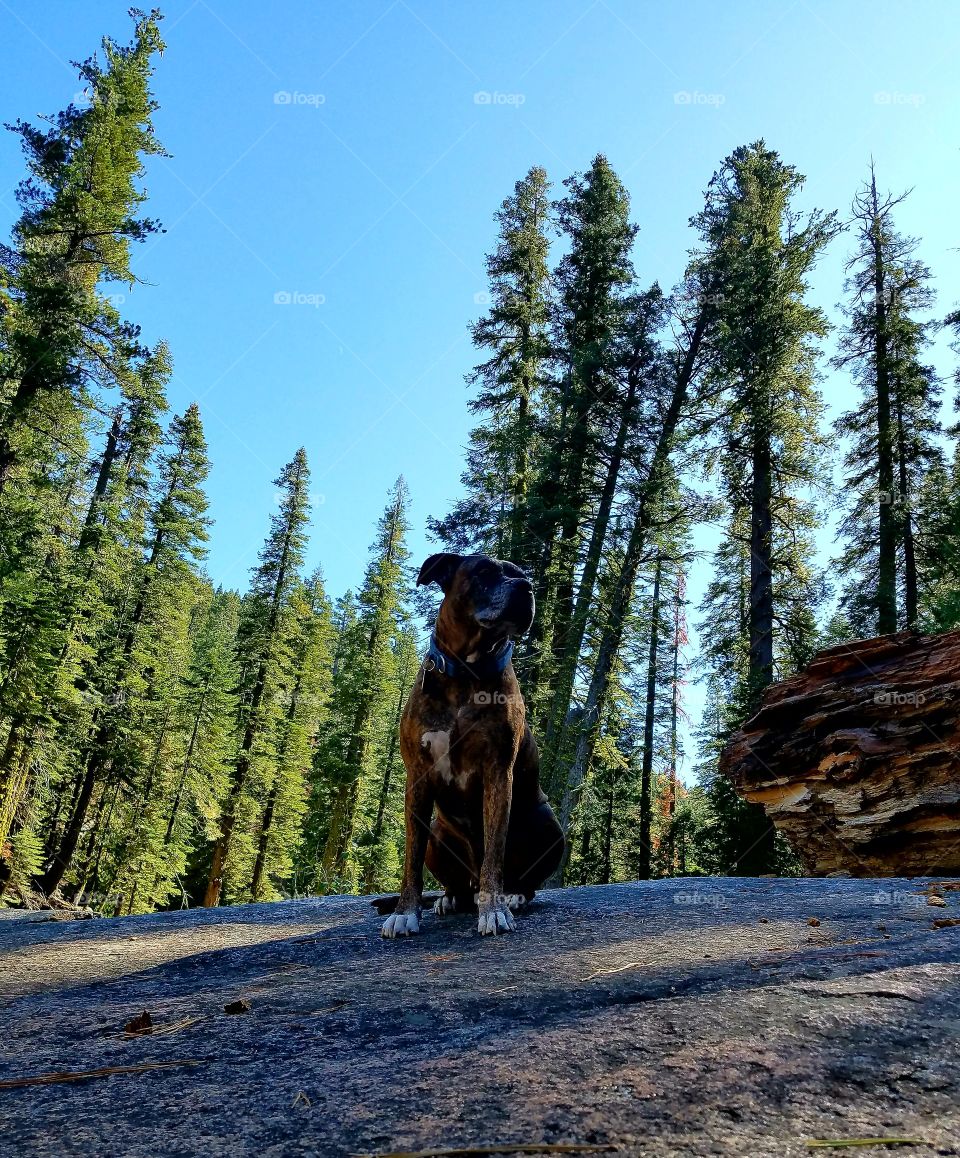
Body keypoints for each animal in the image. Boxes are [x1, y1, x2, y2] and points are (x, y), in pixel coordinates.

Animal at [379, 551, 565, 940]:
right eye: (483, 571)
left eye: (522, 574)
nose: (526, 588)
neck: (466, 673)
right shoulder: (417, 777)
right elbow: (410, 858)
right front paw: (405, 912)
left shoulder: (498, 773)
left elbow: (494, 851)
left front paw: (494, 910)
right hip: (439, 833)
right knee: (458, 885)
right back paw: (450, 898)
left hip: (548, 825)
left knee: (518, 878)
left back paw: (513, 895)